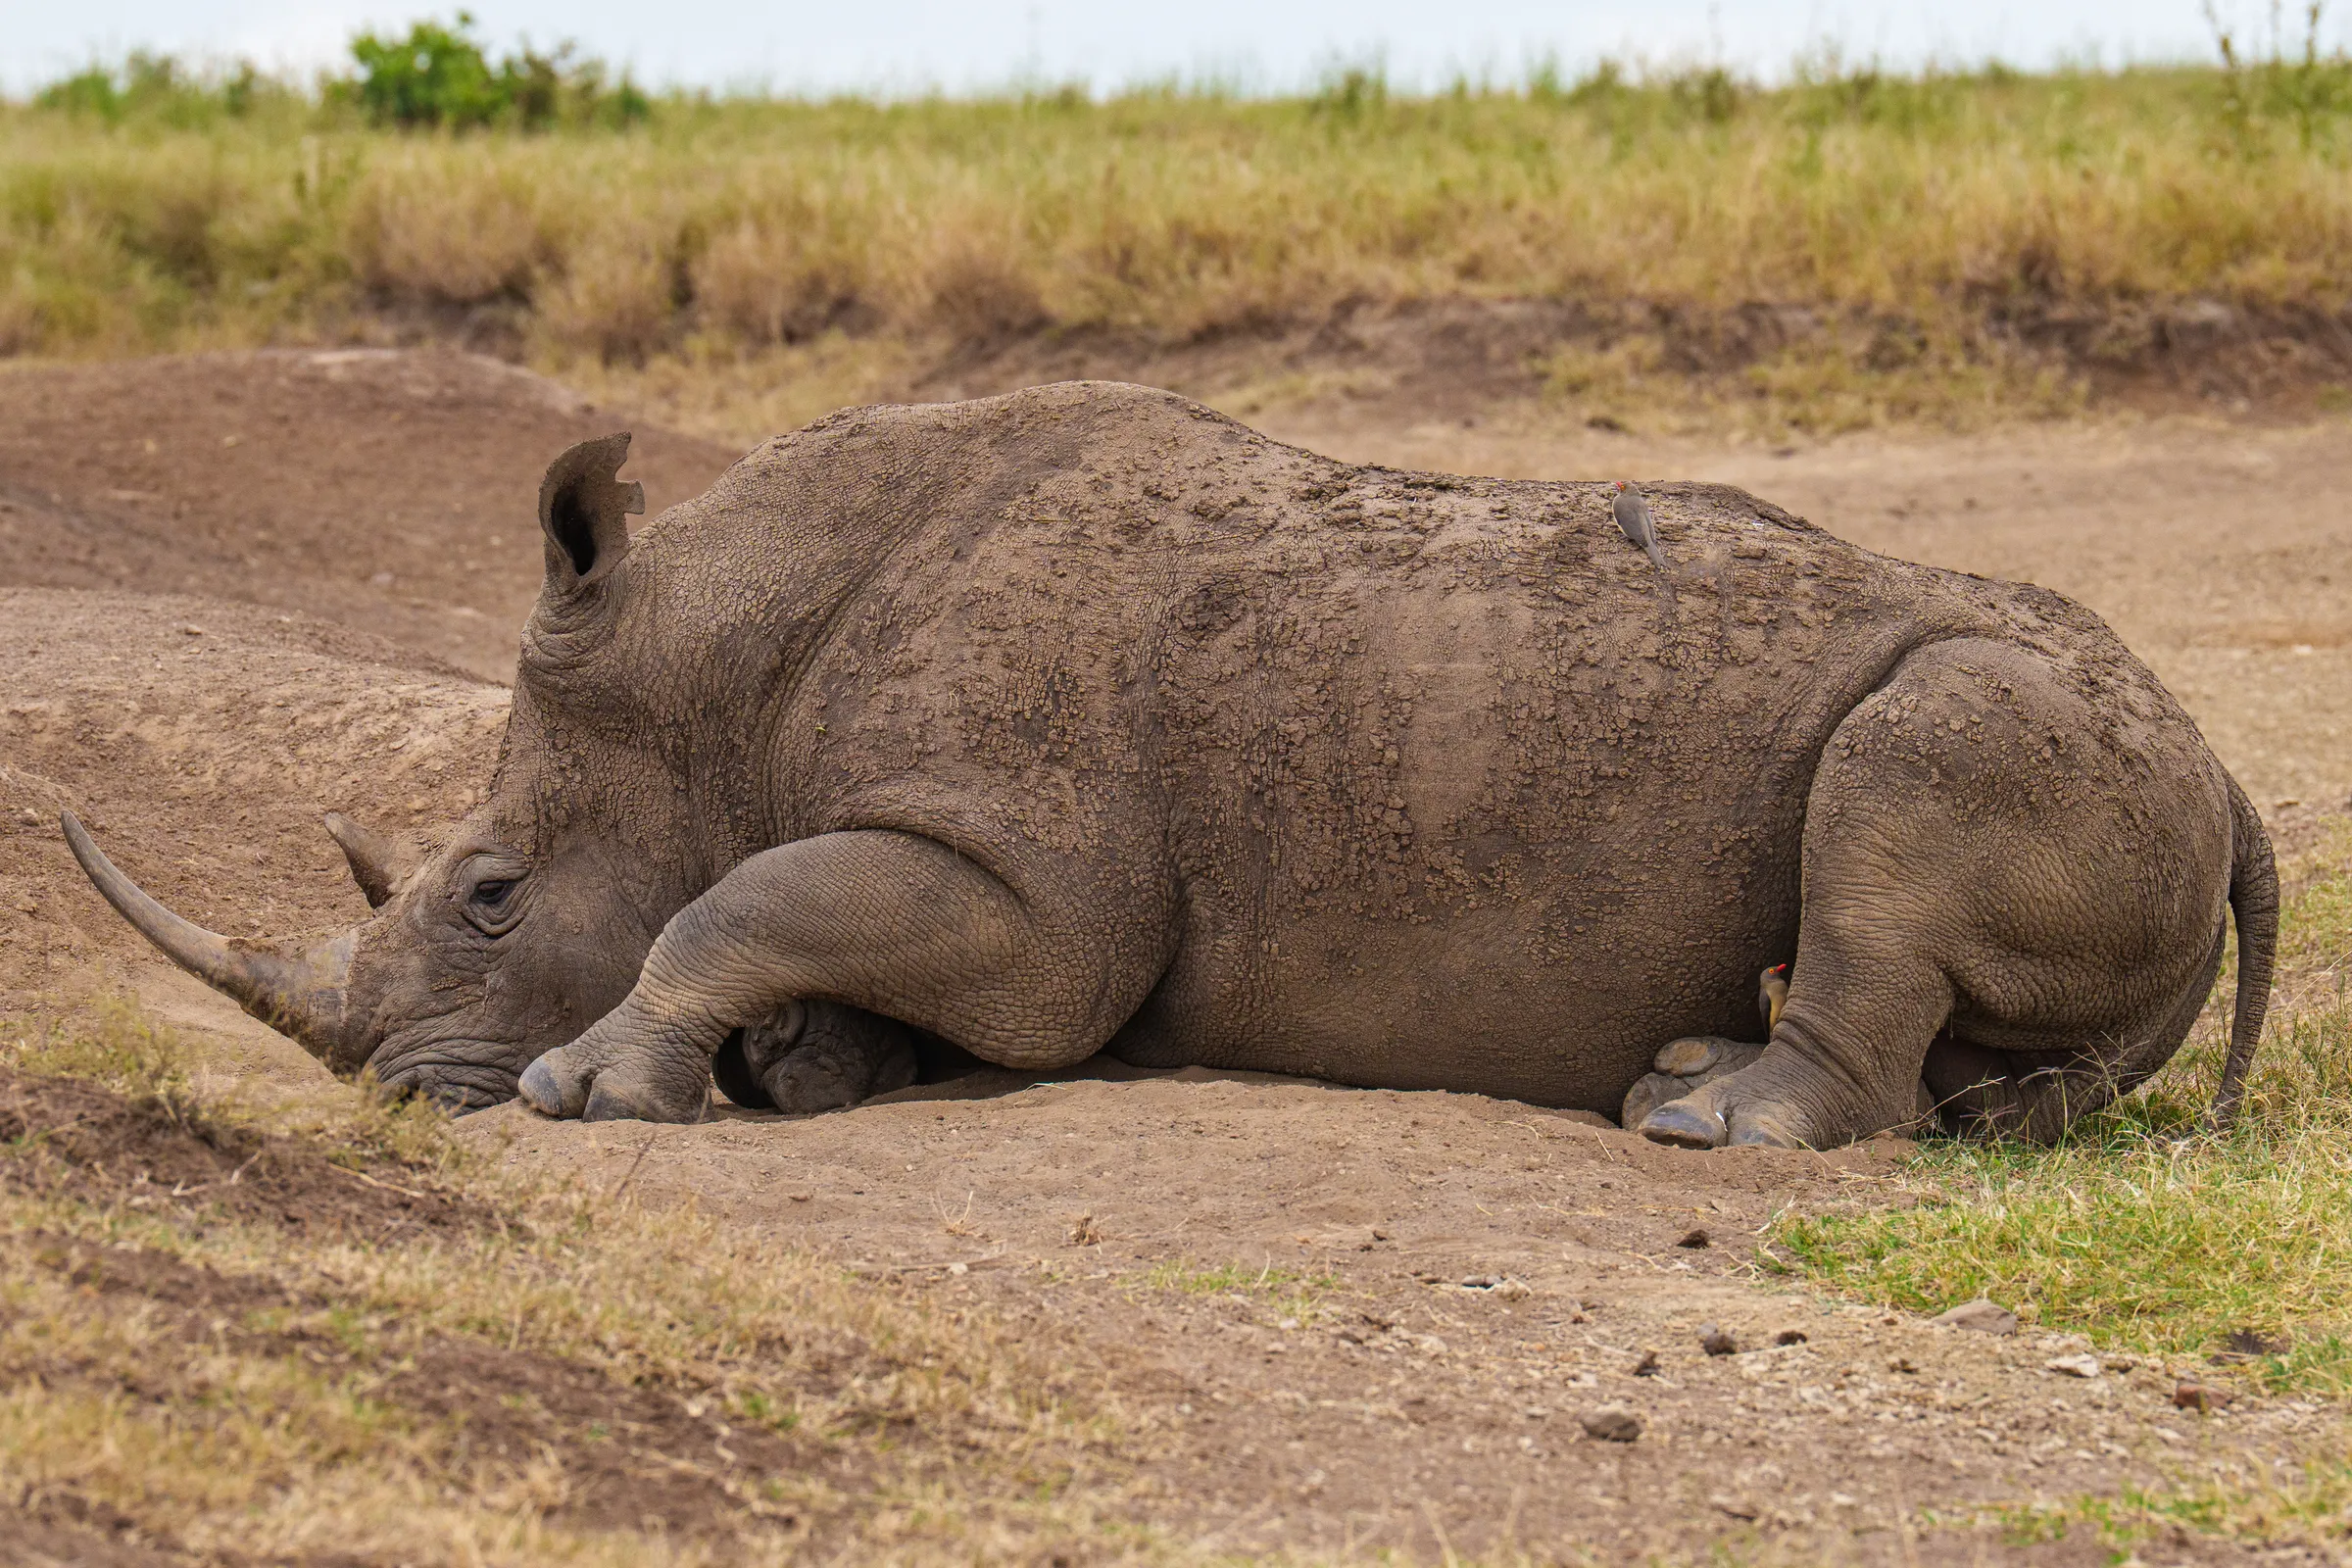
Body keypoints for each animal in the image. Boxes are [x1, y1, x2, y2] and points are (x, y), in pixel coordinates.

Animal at [65, 381, 2276, 1148]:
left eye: (491, 896)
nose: (388, 1092)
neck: (720, 665)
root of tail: (2238, 781)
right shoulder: (985, 877)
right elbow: (794, 917)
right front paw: (813, 1069)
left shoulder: (1036, 889)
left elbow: (743, 896)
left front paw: (590, 1094)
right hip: (2124, 755)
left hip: (2035, 721)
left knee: (1915, 773)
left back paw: (1696, 1122)